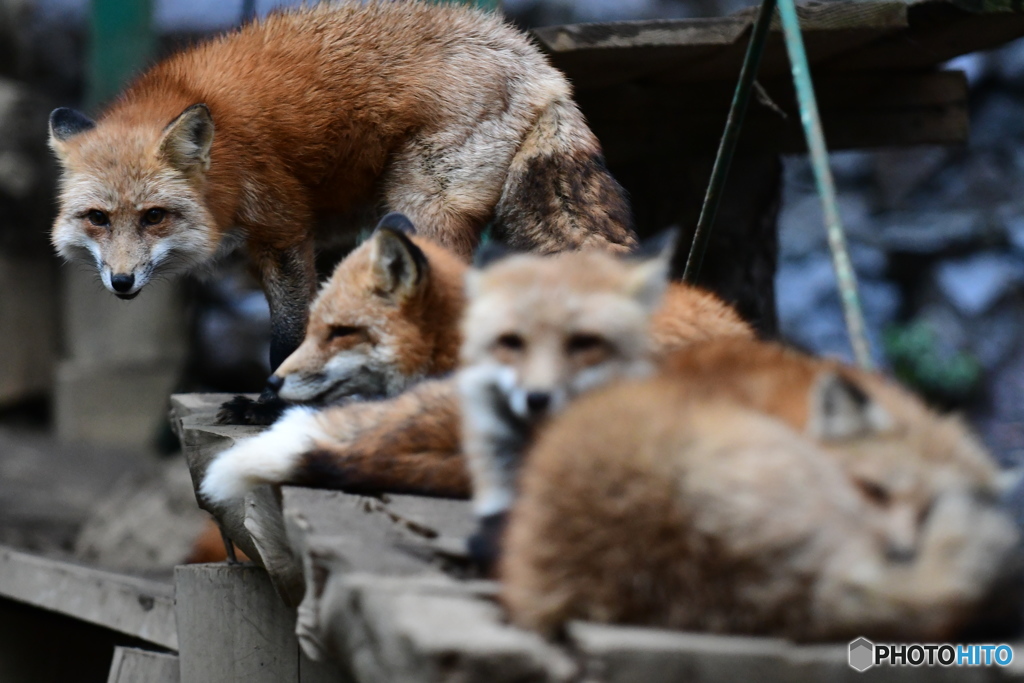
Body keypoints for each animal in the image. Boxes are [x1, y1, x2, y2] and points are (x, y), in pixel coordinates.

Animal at [51, 0, 634, 385]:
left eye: (154, 216)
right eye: (98, 218)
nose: (122, 281)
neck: (224, 170)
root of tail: (531, 54)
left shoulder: (284, 231)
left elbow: (289, 335)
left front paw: (271, 404)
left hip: (421, 212)